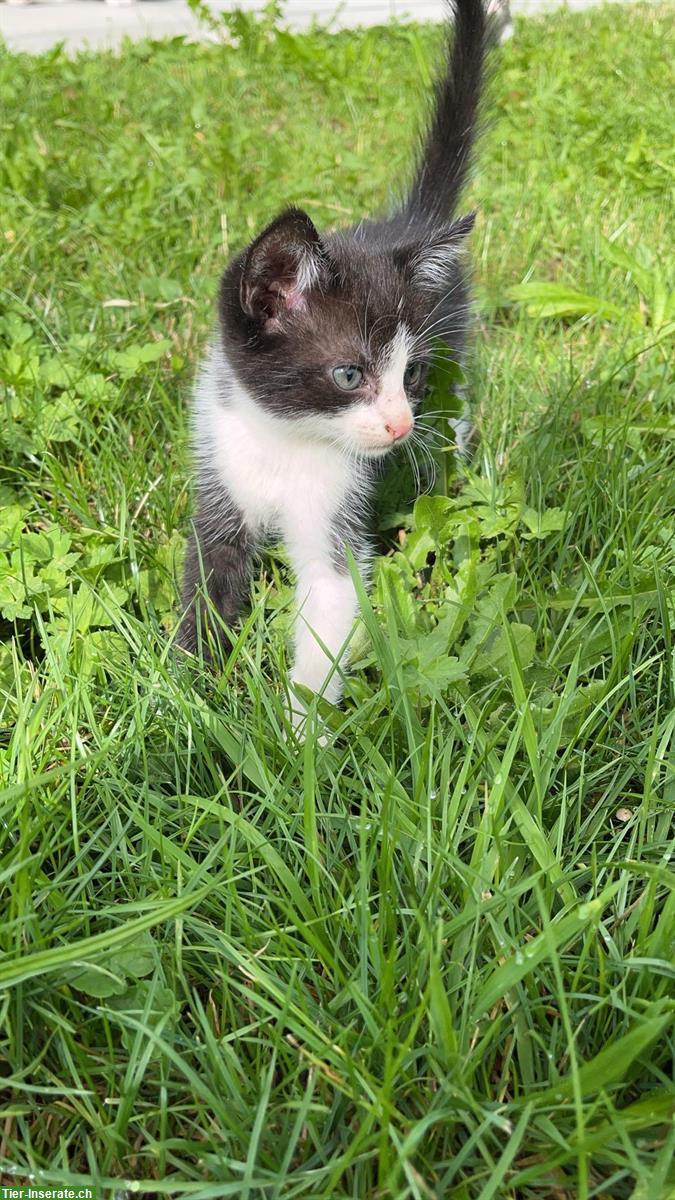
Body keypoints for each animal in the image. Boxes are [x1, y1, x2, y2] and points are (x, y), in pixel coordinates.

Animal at [177, 0, 482, 720]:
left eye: (411, 374)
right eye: (349, 374)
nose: (399, 425)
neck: (286, 442)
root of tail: (408, 224)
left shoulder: (340, 521)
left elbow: (331, 607)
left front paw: (297, 736)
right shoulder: (217, 480)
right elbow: (205, 584)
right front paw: (182, 699)